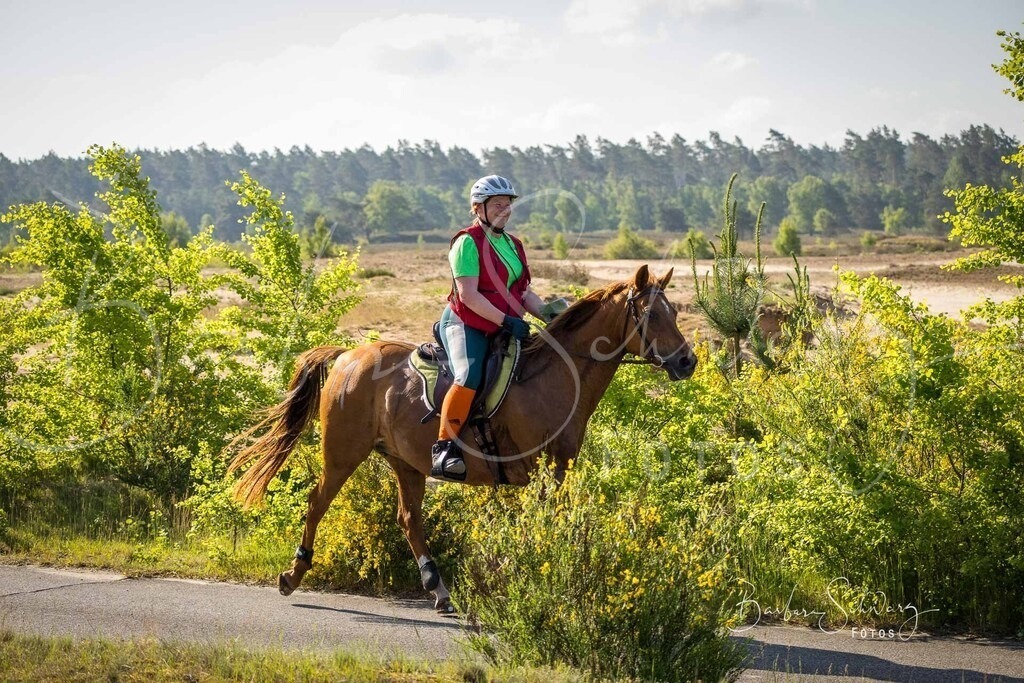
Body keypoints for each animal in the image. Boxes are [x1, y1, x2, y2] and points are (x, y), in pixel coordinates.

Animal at [228, 265, 697, 613]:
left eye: (674, 313)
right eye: (652, 315)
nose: (687, 362)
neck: (557, 377)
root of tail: (347, 355)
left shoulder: (559, 469)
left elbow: (554, 523)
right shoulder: (538, 473)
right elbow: (541, 527)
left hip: (406, 462)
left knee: (409, 519)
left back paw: (438, 589)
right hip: (343, 453)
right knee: (317, 503)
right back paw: (292, 575)